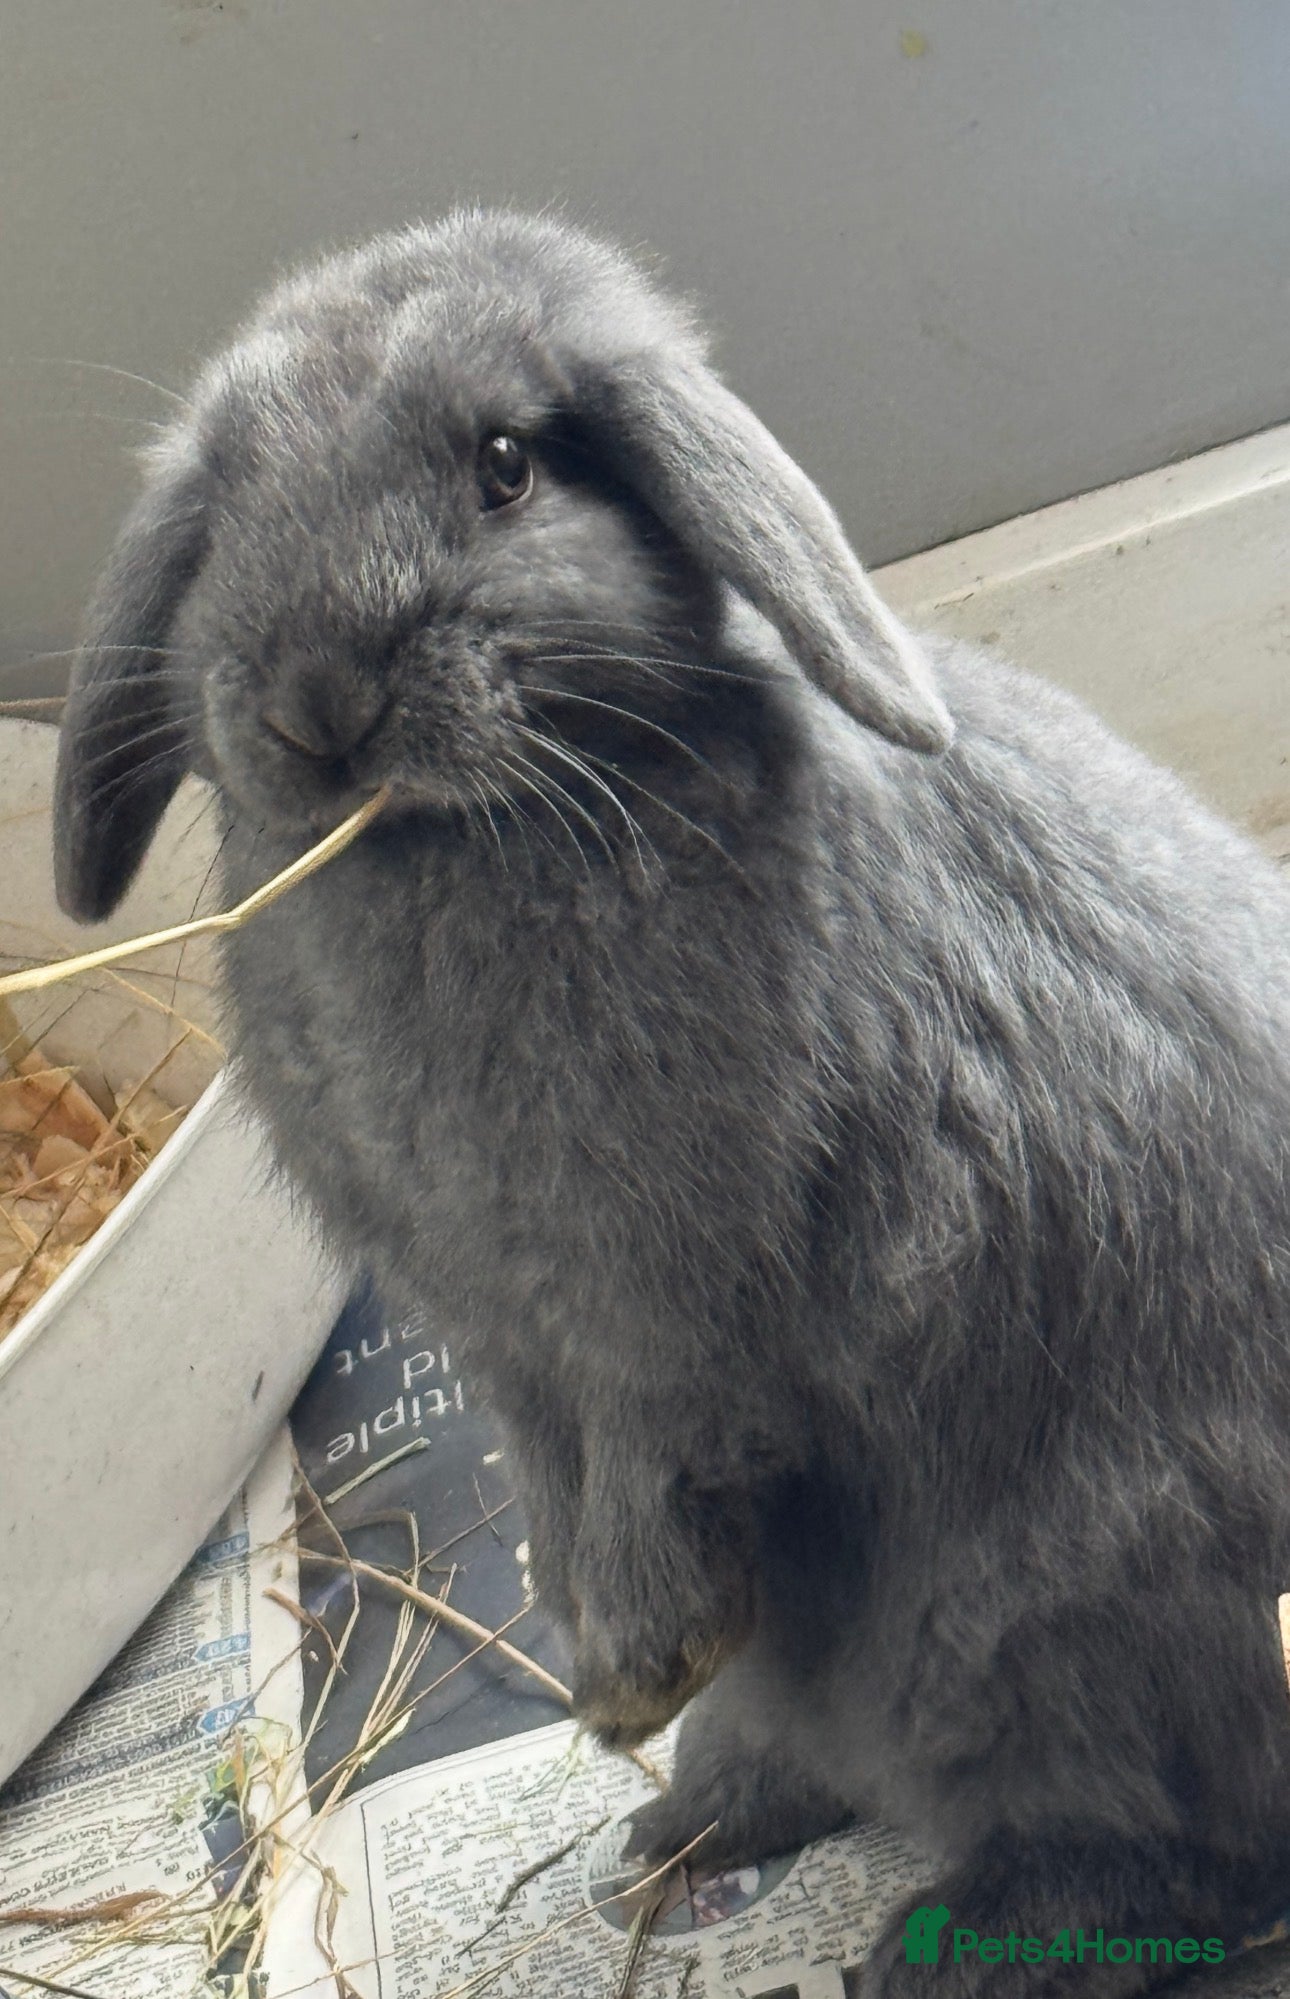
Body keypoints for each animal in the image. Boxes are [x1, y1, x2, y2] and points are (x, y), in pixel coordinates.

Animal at [52, 209, 1290, 1999]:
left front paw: (632, 1663)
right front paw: (595, 1658)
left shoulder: (672, 1293)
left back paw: (948, 1941)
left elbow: (661, 1442)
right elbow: (551, 1471)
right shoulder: (497, 1335)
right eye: (223, 508)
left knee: (1202, 1850)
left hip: (1045, 1617)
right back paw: (686, 1818)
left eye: (505, 465)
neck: (456, 841)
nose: (314, 704)